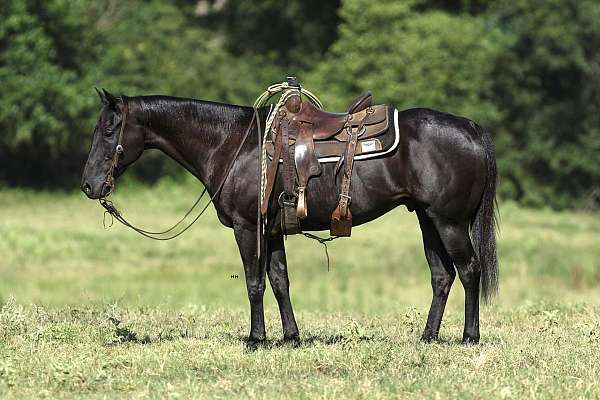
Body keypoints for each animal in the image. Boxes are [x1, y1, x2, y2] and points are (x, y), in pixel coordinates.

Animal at [82, 90, 500, 346]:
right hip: (428, 220)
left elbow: (254, 283)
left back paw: (469, 337)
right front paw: (290, 336)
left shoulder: (248, 228)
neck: (234, 145)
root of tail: (471, 128)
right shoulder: (272, 231)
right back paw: (428, 337)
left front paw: (256, 339)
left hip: (449, 222)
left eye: (109, 130)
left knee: (469, 270)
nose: (89, 185)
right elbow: (279, 280)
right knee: (442, 276)